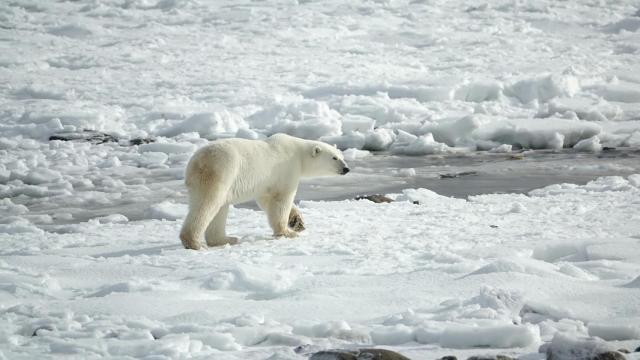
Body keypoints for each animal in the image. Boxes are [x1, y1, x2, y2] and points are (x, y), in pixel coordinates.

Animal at [179, 133, 350, 250]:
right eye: (334, 158)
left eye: (341, 156)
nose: (346, 169)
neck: (299, 154)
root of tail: (196, 162)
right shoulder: (287, 169)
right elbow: (281, 199)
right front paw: (287, 232)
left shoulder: (267, 181)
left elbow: (266, 200)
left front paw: (297, 222)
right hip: (221, 171)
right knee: (208, 204)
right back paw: (195, 243)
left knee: (219, 208)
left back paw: (227, 239)